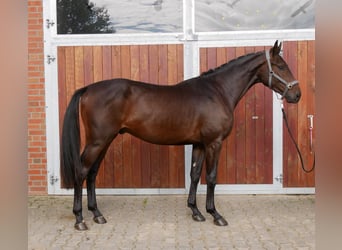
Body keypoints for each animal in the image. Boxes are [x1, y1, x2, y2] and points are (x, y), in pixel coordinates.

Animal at [60, 41, 300, 230]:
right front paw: (215, 214)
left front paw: (196, 212)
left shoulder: (199, 144)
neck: (217, 91)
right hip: (97, 141)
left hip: (105, 141)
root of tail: (88, 88)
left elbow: (194, 175)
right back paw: (80, 219)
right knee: (81, 172)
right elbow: (211, 177)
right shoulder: (214, 143)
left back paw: (97, 214)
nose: (297, 95)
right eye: (281, 66)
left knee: (92, 174)